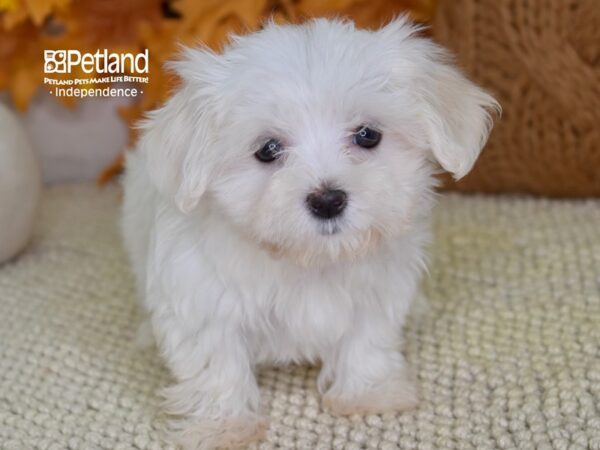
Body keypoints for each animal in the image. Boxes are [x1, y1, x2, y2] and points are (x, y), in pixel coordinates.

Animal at [122, 16, 496, 450]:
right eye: (268, 149)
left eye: (367, 135)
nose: (328, 200)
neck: (309, 259)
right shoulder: (202, 302)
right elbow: (217, 365)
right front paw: (223, 427)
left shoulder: (378, 291)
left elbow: (367, 339)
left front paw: (369, 394)